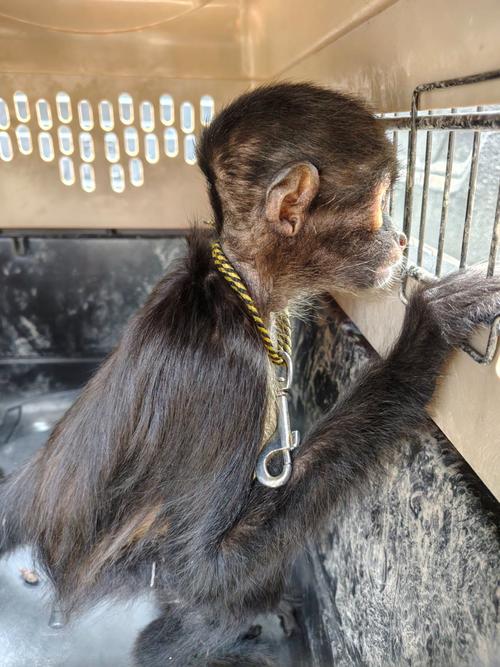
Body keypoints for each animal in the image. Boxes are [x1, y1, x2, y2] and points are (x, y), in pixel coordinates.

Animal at [1, 82, 499, 666]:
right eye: (379, 205)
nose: (400, 240)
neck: (238, 289)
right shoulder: (229, 377)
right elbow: (201, 571)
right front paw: (424, 336)